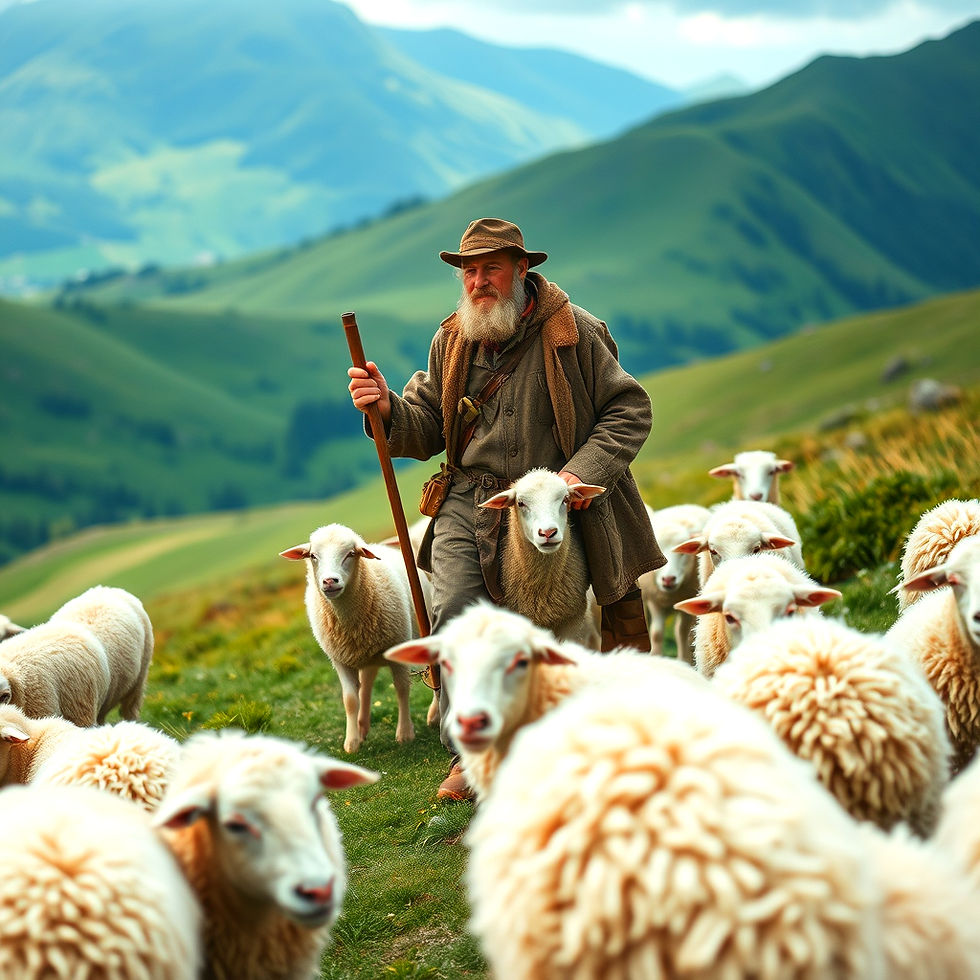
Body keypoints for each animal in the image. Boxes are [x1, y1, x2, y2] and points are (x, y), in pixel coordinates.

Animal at [280, 522, 433, 753]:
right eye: (313, 556)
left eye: (350, 554)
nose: (329, 581)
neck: (349, 621)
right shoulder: (340, 659)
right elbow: (350, 699)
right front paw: (351, 742)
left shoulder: (398, 646)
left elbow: (402, 688)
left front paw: (405, 733)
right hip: (365, 655)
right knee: (366, 683)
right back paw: (362, 727)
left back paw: (434, 714)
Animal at [636, 502, 711, 662]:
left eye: (682, 553)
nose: (668, 579)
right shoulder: (655, 600)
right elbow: (657, 633)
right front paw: (655, 656)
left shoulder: (688, 599)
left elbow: (682, 632)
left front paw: (683, 660)